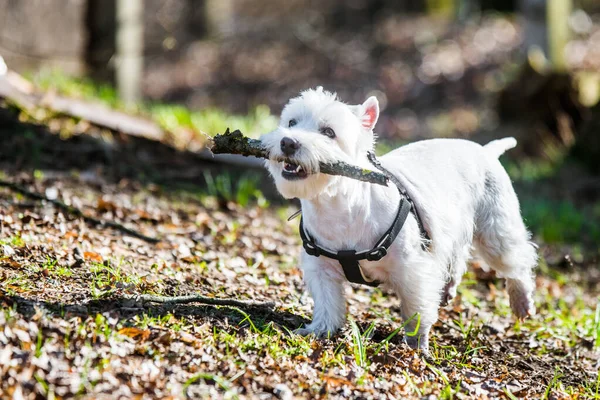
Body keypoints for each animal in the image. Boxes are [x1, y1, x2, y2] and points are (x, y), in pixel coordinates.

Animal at [260, 86, 536, 350]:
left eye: (329, 132)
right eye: (292, 122)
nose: (288, 142)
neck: (337, 207)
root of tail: (486, 151)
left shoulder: (412, 270)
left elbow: (416, 311)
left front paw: (416, 348)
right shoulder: (321, 269)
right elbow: (327, 304)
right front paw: (318, 330)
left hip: (494, 230)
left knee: (517, 261)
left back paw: (521, 302)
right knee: (458, 257)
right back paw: (447, 288)